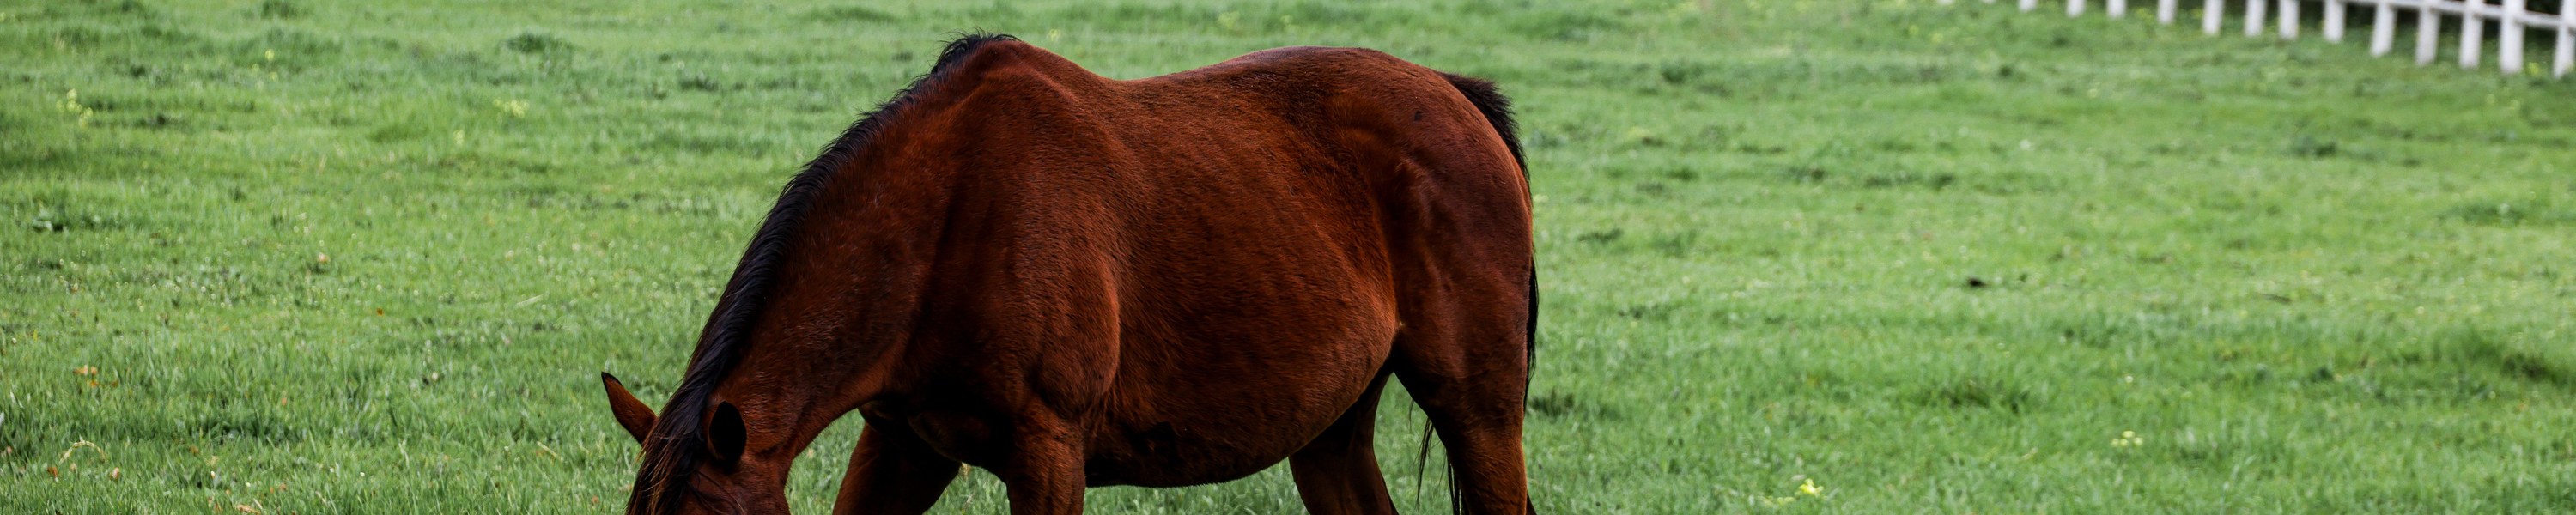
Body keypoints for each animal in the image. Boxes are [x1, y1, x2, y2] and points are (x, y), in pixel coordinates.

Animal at [598, 34, 1534, 514]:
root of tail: (1455, 95)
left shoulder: (1047, 450)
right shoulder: (902, 443)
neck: (948, 220)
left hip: (1479, 414)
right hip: (1332, 431)